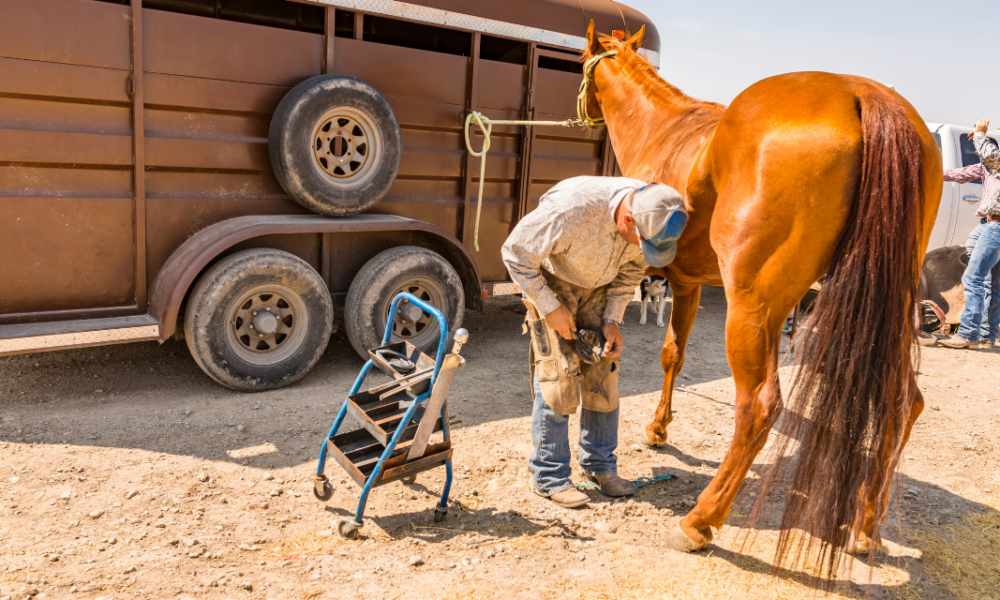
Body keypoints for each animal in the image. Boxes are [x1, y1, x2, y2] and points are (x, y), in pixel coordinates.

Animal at [584, 21, 940, 568]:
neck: (662, 127)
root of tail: (862, 94)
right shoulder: (685, 284)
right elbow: (672, 353)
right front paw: (659, 428)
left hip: (754, 310)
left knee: (759, 407)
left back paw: (699, 521)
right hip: (890, 311)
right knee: (904, 402)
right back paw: (865, 525)